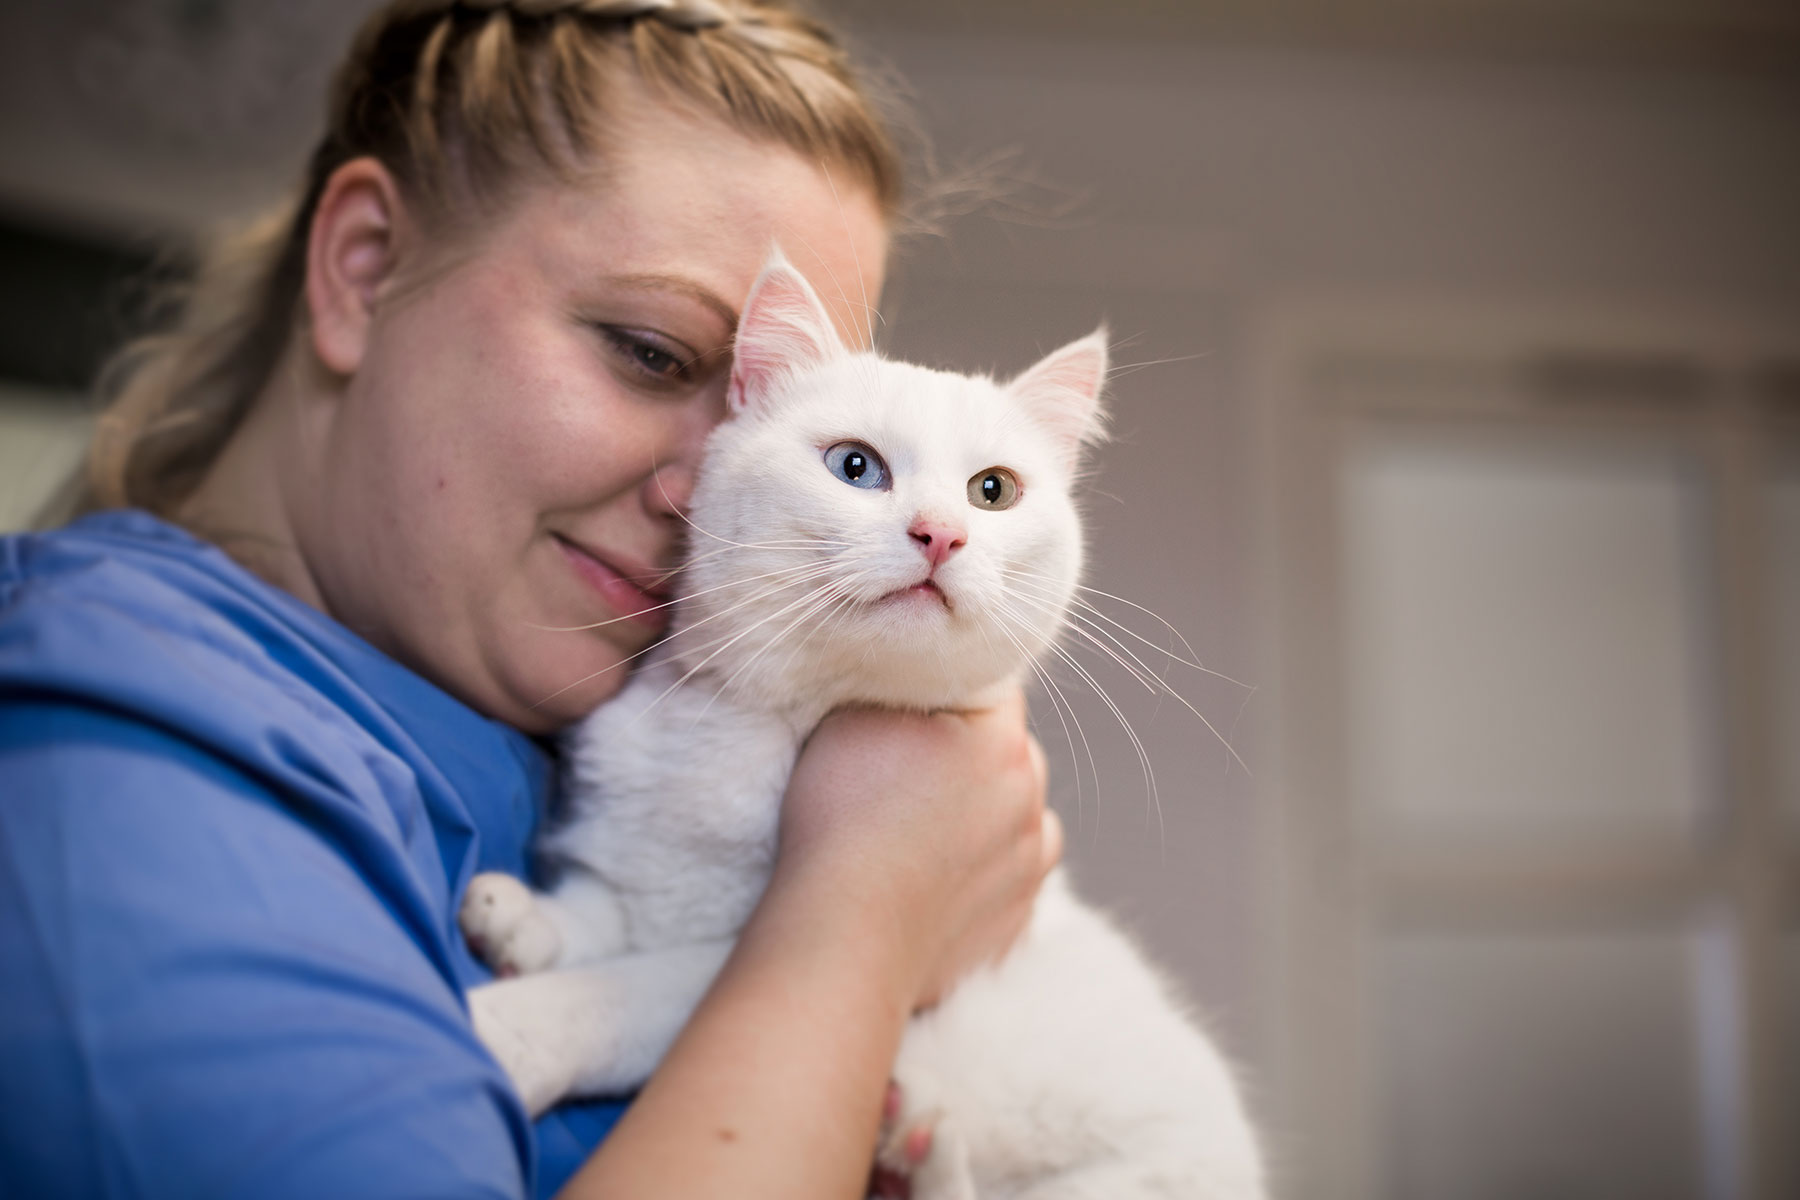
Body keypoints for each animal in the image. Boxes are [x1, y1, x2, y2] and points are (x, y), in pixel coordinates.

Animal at [457, 248, 1260, 1194]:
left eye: (993, 491)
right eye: (854, 467)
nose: (941, 534)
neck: (754, 729)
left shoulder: (715, 967)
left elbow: (619, 994)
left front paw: (506, 1030)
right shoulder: (648, 861)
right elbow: (607, 912)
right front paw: (530, 921)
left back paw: (918, 1150)